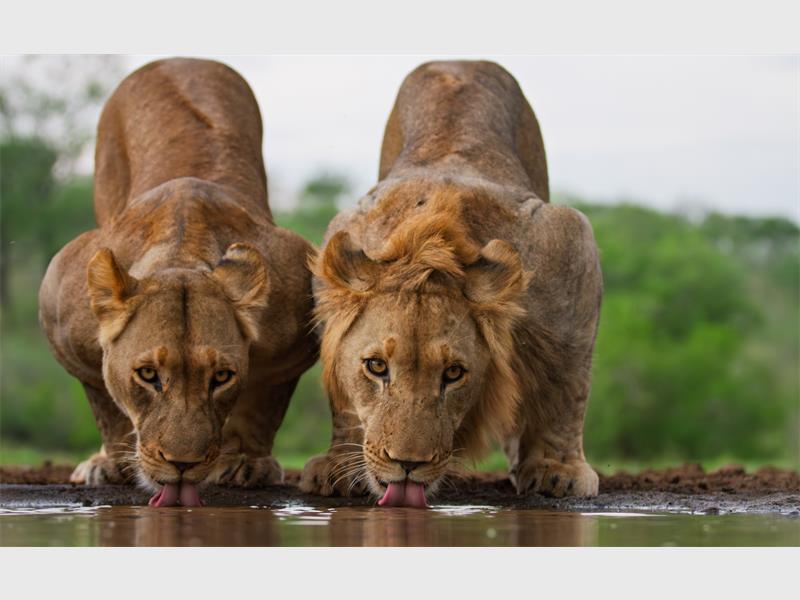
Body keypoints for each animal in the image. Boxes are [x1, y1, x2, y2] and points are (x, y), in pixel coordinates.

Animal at [38, 58, 318, 506]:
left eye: (221, 377)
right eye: (147, 374)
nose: (183, 465)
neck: (182, 253)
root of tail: (182, 59)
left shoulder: (293, 340)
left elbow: (264, 406)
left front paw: (246, 462)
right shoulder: (62, 319)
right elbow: (103, 400)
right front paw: (111, 462)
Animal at [300, 61, 602, 506]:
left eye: (454, 373)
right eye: (376, 366)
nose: (408, 464)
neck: (429, 246)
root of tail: (462, 62)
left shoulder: (569, 247)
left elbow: (566, 383)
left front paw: (557, 470)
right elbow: (343, 396)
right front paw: (339, 466)